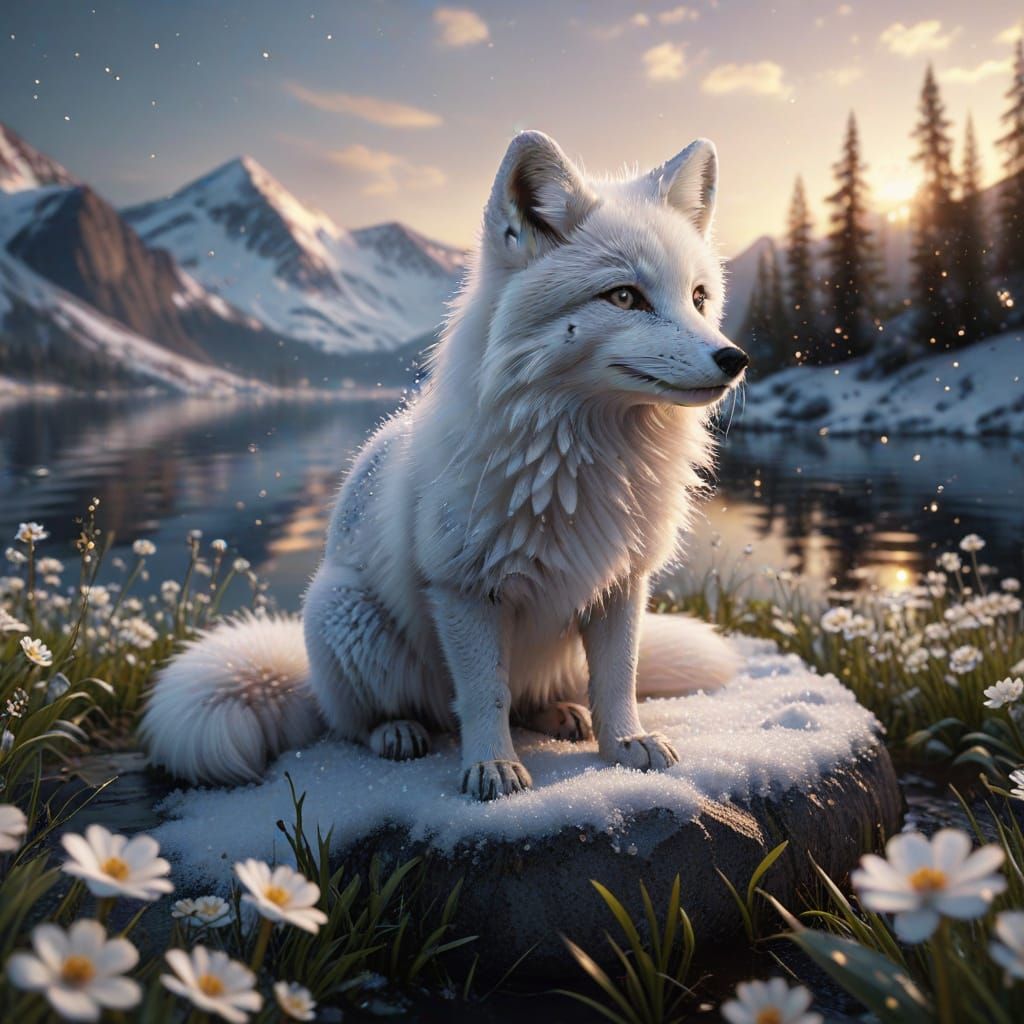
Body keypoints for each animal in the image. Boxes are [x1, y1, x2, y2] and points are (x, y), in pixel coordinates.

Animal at [141, 130, 749, 800]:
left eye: (698, 298)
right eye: (624, 297)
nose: (735, 359)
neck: (582, 461)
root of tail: (307, 678)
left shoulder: (620, 583)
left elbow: (617, 680)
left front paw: (624, 744)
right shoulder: (464, 588)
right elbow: (484, 695)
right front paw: (493, 768)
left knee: (533, 697)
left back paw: (560, 713)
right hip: (345, 617)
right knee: (363, 720)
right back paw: (396, 731)